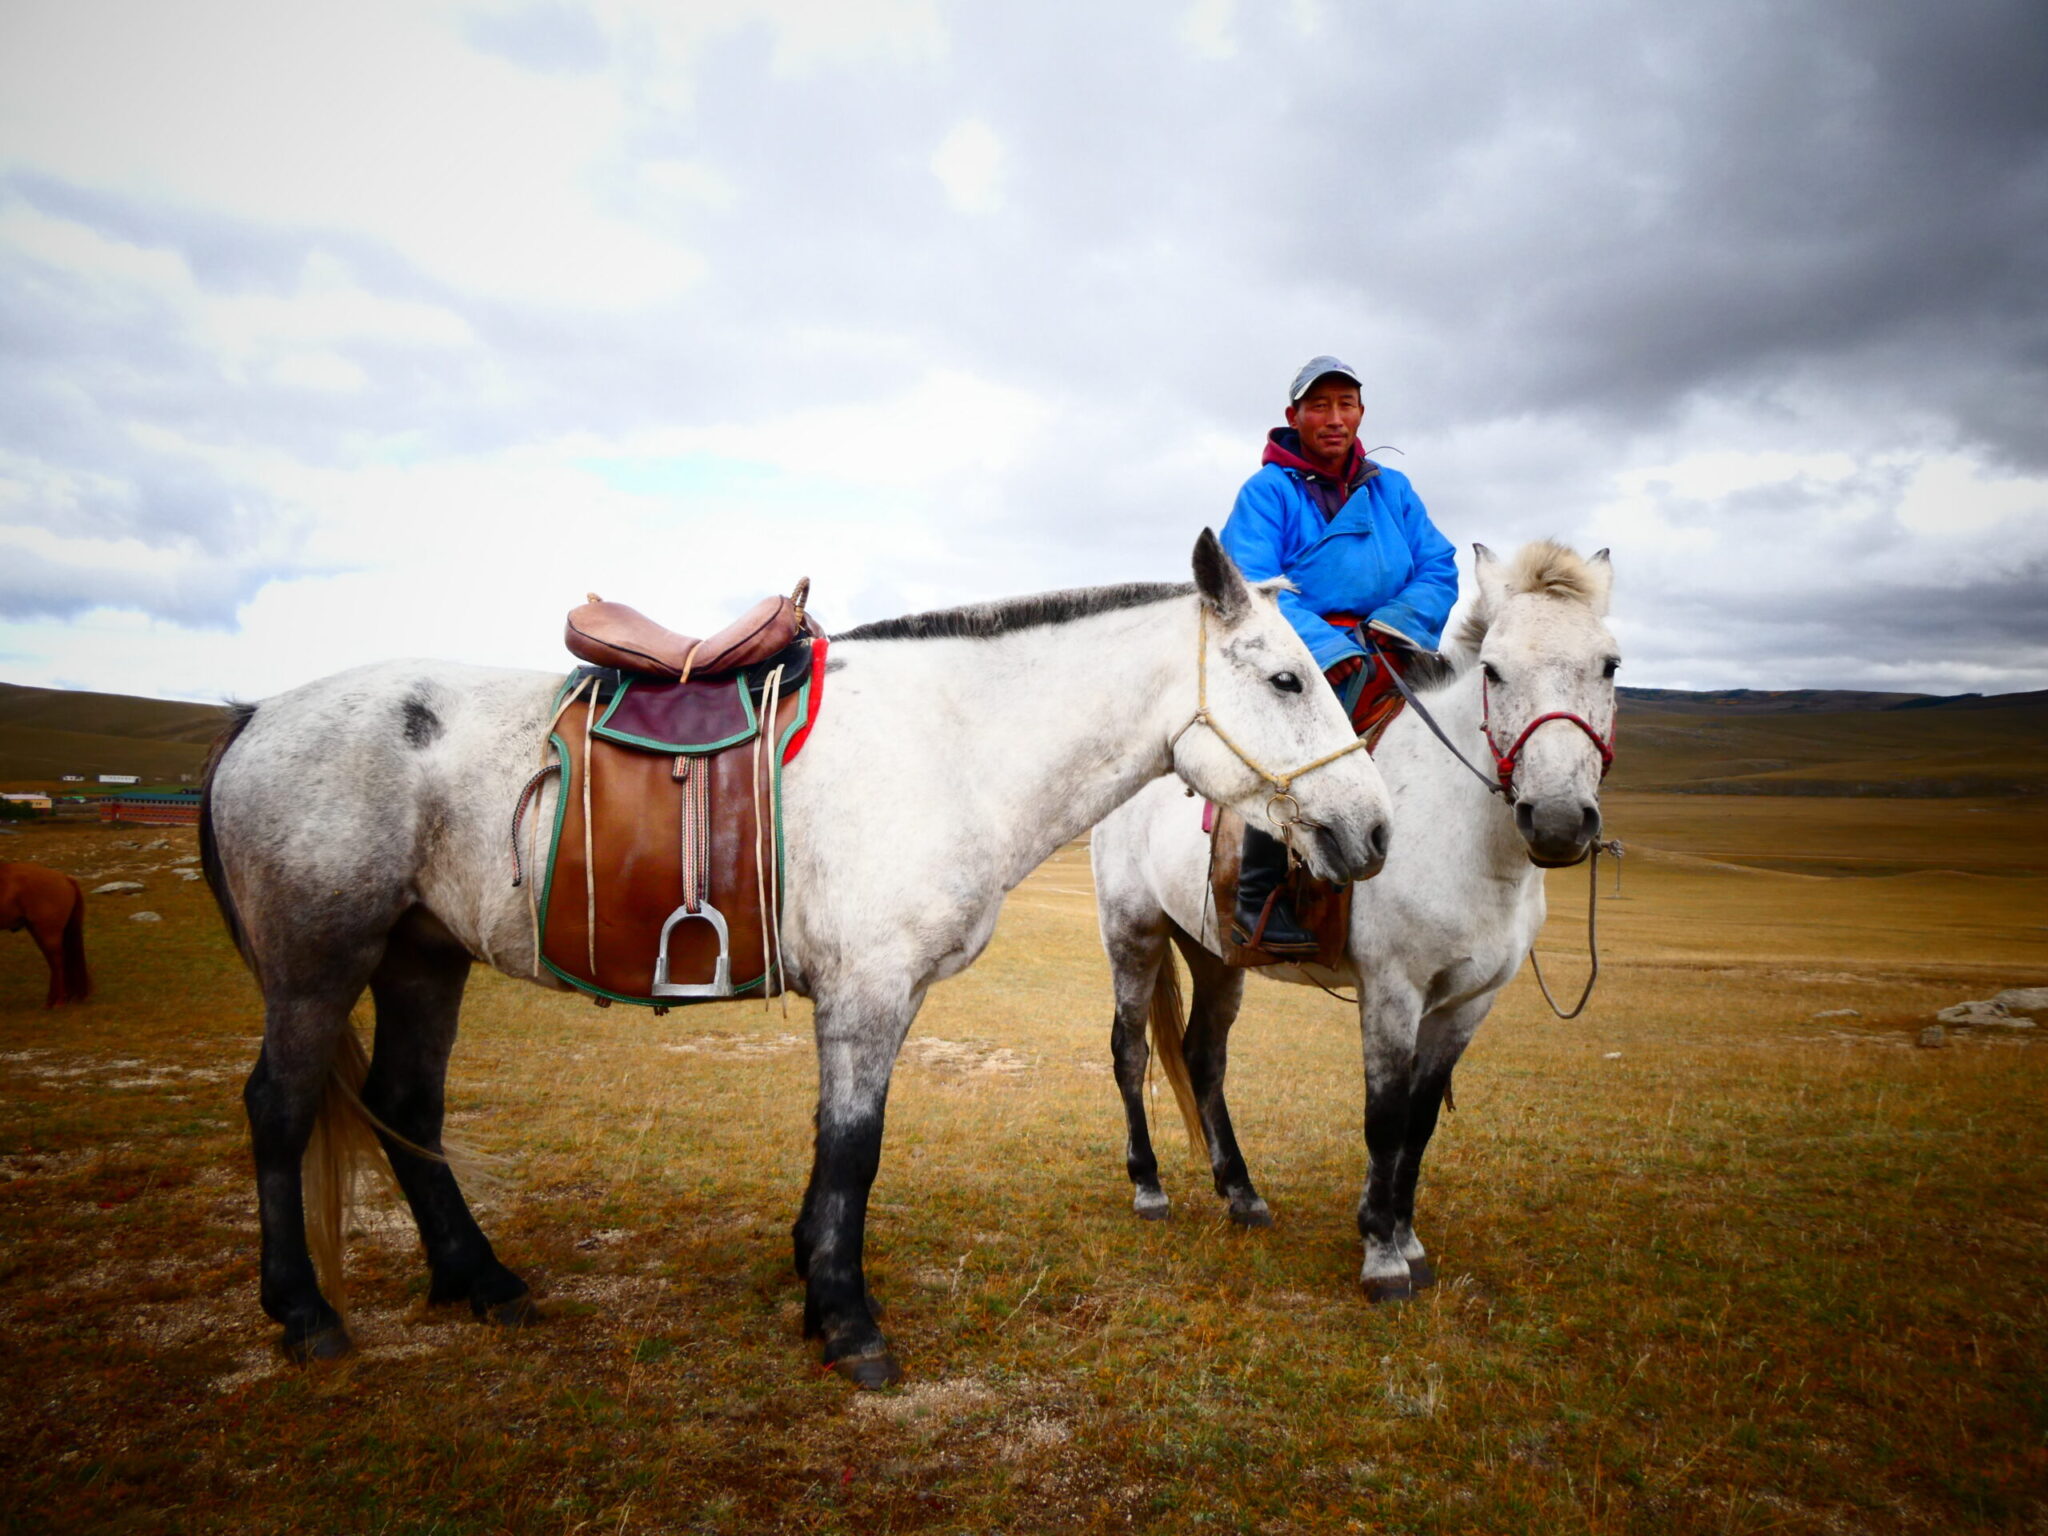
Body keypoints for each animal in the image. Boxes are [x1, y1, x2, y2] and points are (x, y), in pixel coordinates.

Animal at [199, 531, 1397, 1385]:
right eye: (1287, 681)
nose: (1376, 829)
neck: (947, 741)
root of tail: (256, 719)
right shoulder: (867, 993)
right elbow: (852, 1148)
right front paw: (848, 1322)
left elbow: (836, 1154)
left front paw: (814, 1286)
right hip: (319, 967)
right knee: (281, 1108)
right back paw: (305, 1313)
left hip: (420, 957)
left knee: (406, 1104)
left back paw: (479, 1279)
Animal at [1090, 540, 1618, 1298]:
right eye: (1494, 669)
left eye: (1609, 665)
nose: (1554, 819)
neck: (1465, 836)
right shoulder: (1393, 990)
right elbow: (1385, 1116)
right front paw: (1381, 1252)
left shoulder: (1469, 1002)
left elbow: (1420, 1122)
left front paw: (1408, 1237)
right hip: (1133, 932)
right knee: (1131, 1050)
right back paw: (1149, 1185)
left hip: (1215, 953)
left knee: (1203, 1057)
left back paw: (1241, 1192)